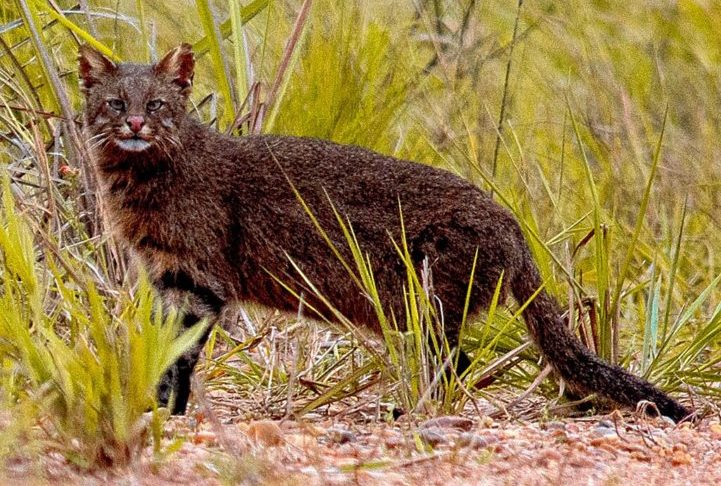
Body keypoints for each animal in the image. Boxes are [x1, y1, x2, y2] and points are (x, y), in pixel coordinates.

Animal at [76, 42, 688, 422]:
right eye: (114, 102)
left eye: (158, 103)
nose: (135, 123)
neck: (139, 197)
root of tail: (512, 224)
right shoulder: (164, 274)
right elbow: (164, 348)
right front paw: (155, 406)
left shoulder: (199, 274)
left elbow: (180, 352)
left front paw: (167, 411)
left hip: (429, 297)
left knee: (454, 363)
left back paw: (405, 413)